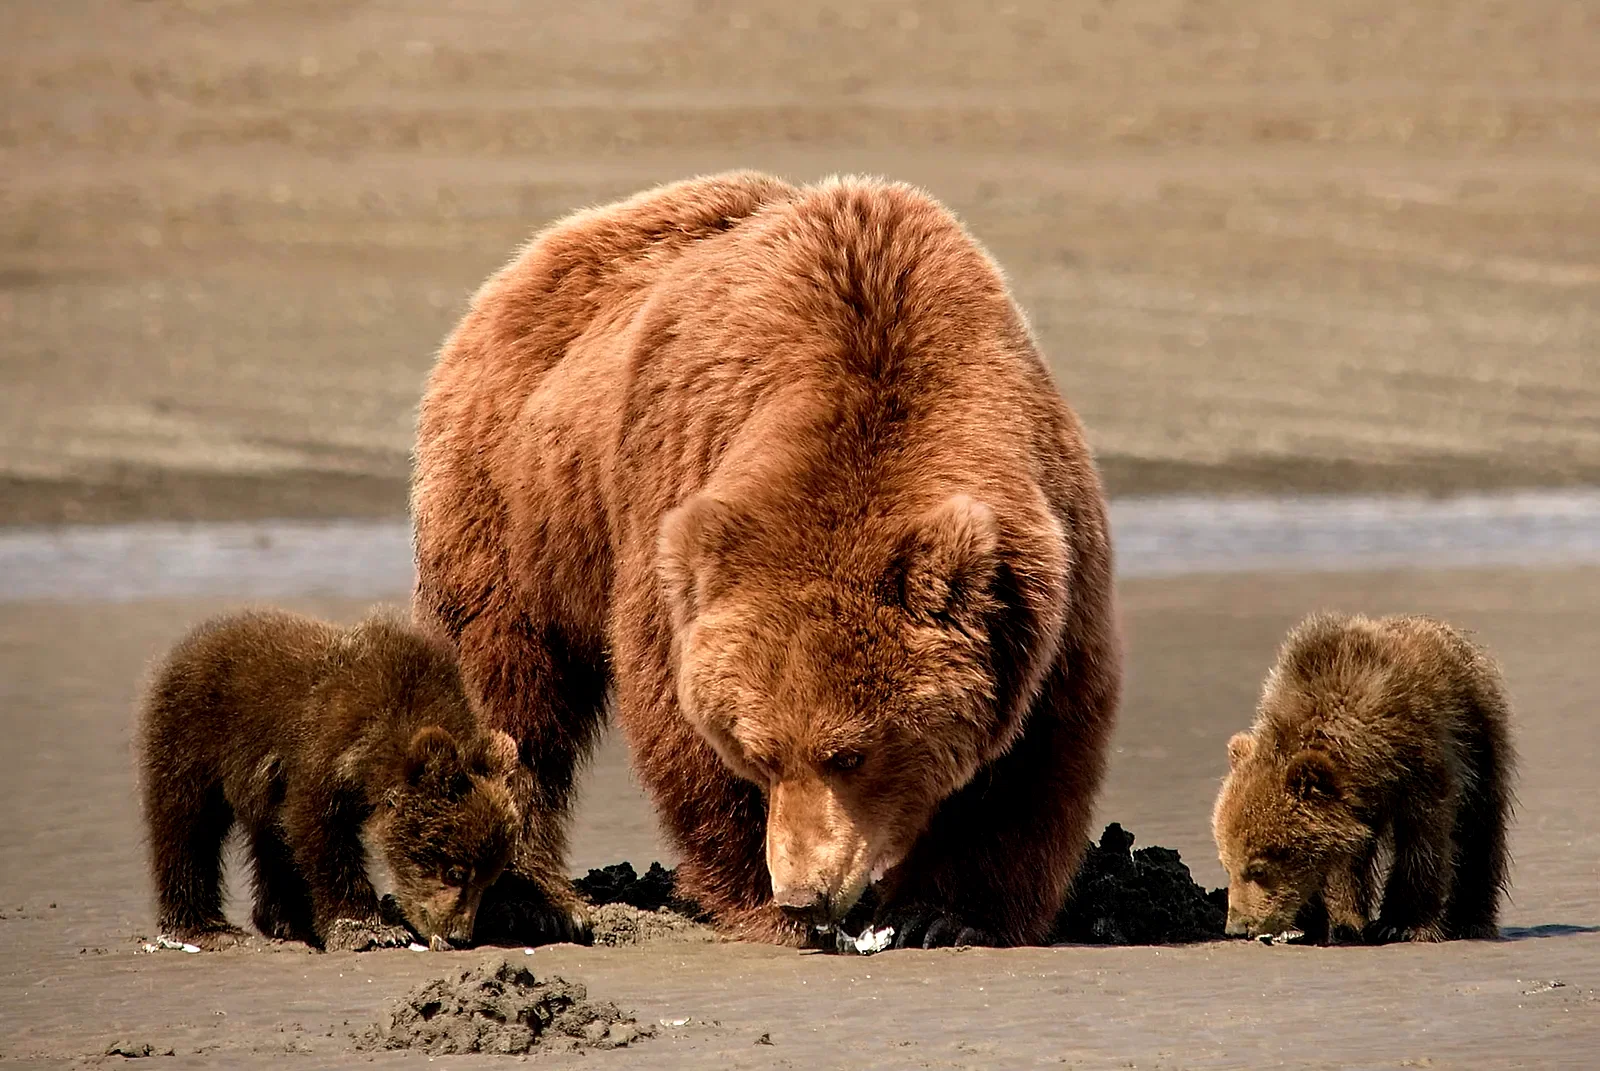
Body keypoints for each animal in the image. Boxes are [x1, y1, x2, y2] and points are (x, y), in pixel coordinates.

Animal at [136, 608, 521, 951]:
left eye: (489, 879)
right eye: (455, 872)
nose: (459, 935)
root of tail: (192, 642)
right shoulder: (323, 750)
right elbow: (318, 832)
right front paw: (370, 930)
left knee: (269, 838)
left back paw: (287, 921)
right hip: (192, 737)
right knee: (187, 826)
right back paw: (206, 928)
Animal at [411, 171, 1122, 948]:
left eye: (852, 753)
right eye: (760, 751)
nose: (805, 895)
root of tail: (533, 259)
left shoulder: (1043, 567)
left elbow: (1035, 747)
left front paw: (943, 913)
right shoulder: (675, 512)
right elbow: (679, 719)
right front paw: (762, 899)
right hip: (517, 504)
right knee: (506, 687)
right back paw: (522, 897)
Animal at [1212, 612, 1515, 944]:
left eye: (1257, 869)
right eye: (1227, 865)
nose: (1237, 926)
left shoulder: (1420, 761)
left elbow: (1423, 838)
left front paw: (1402, 924)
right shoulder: (1351, 802)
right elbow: (1346, 859)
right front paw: (1339, 922)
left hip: (1478, 734)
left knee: (1480, 825)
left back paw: (1471, 920)